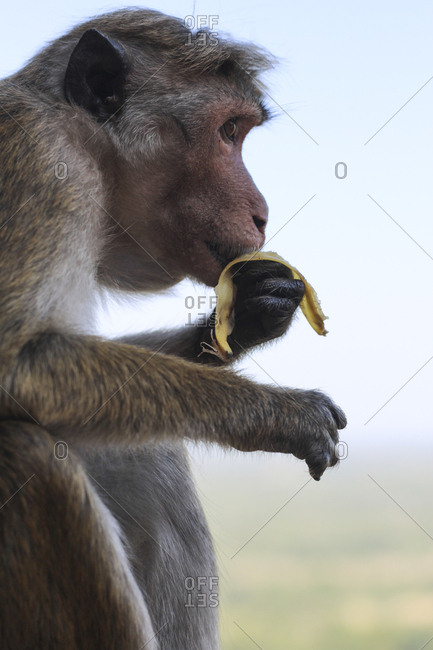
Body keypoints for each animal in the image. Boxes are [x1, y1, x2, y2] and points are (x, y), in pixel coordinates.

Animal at [0, 9, 347, 650]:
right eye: (228, 131)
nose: (262, 213)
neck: (83, 143)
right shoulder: (40, 161)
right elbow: (23, 364)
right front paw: (281, 414)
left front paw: (253, 310)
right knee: (30, 454)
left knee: (141, 451)